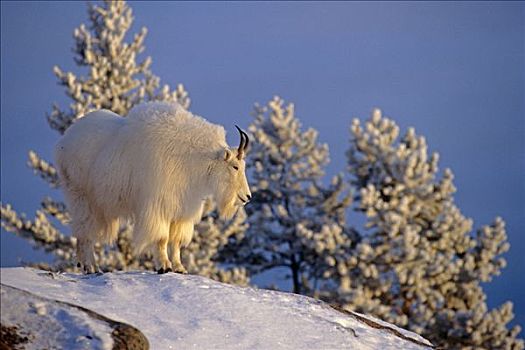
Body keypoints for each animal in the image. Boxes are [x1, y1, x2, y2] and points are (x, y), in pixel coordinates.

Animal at [54, 101, 251, 274]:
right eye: (235, 167)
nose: (247, 197)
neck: (192, 158)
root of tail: (64, 141)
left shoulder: (182, 211)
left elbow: (175, 242)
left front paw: (179, 268)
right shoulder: (158, 207)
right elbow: (162, 238)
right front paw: (164, 266)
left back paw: (84, 265)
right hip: (81, 197)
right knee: (85, 232)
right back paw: (91, 267)